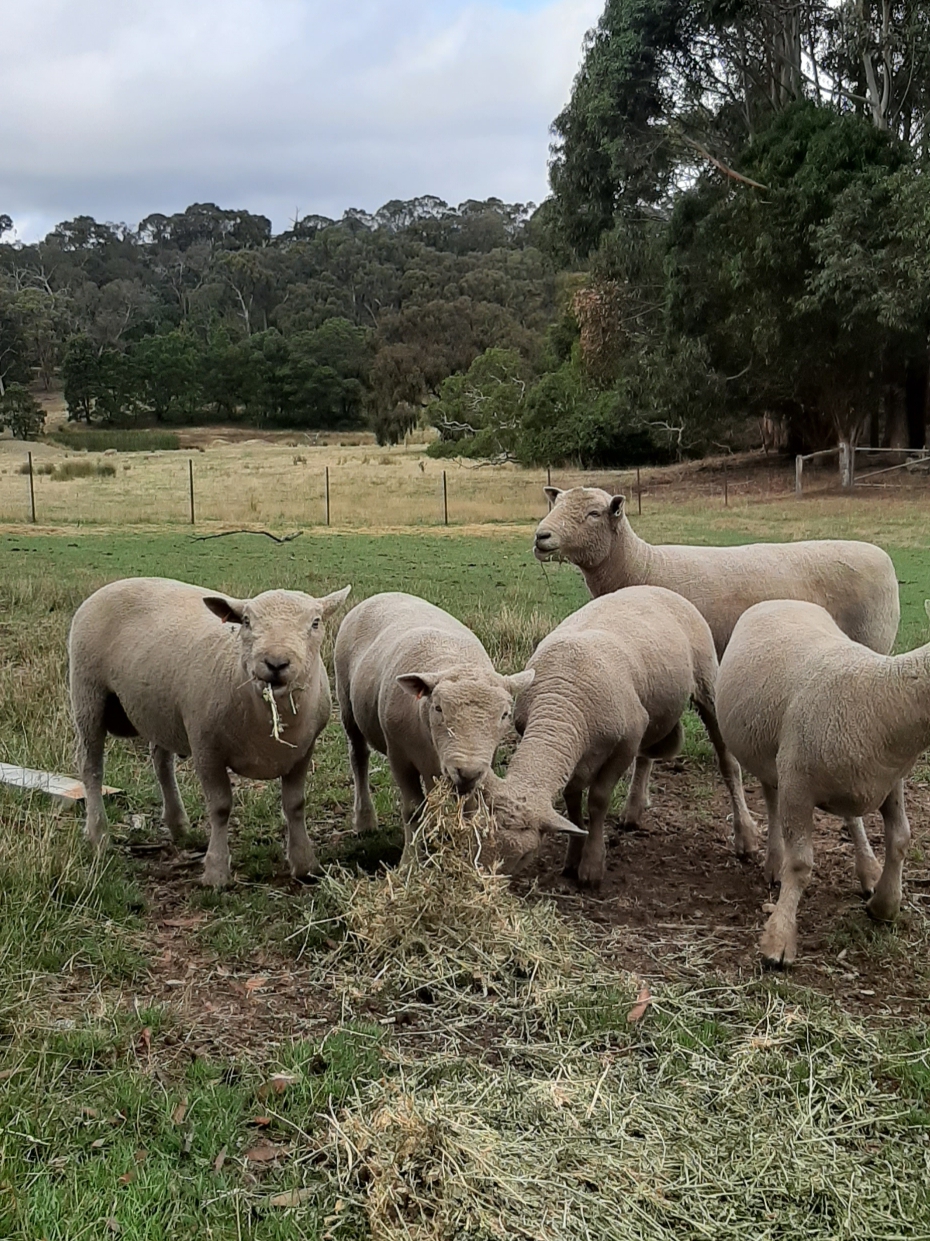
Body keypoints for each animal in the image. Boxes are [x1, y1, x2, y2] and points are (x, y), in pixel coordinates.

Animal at [69, 576, 351, 887]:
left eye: (315, 622)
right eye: (247, 621)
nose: (276, 663)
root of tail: (115, 583)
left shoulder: (302, 752)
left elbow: (295, 804)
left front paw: (304, 864)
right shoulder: (206, 747)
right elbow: (220, 807)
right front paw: (216, 871)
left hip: (162, 709)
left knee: (161, 760)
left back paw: (179, 825)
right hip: (87, 692)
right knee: (91, 767)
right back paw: (97, 835)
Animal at [334, 591, 542, 865]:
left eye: (505, 715)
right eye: (438, 708)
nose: (466, 772)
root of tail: (386, 594)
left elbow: (467, 811)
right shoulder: (399, 756)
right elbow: (413, 810)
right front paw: (409, 863)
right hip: (346, 701)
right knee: (359, 756)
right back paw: (364, 820)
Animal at [482, 585, 759, 887]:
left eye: (526, 854)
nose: (496, 884)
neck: (560, 705)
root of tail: (659, 589)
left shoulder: (624, 743)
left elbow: (598, 800)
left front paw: (591, 866)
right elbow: (571, 799)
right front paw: (573, 856)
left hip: (707, 684)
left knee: (727, 763)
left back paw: (745, 836)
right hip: (651, 709)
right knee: (647, 753)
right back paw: (633, 810)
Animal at [534, 487, 900, 658]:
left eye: (594, 513)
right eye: (555, 505)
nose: (541, 536)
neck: (641, 564)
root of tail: (882, 555)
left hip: (874, 637)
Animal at [716, 598, 922, 967]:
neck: (884, 695)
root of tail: (782, 599)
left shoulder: (891, 782)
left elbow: (899, 839)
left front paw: (884, 904)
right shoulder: (797, 783)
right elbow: (800, 864)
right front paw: (779, 940)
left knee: (850, 817)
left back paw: (868, 869)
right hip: (768, 752)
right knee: (771, 800)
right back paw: (774, 862)